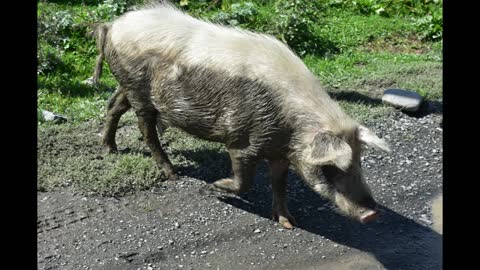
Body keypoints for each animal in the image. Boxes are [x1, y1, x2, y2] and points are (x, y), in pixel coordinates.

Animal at [93, 3, 390, 229]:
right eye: (330, 167)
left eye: (359, 161)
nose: (372, 213)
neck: (291, 127)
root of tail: (113, 25)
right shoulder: (241, 140)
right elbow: (243, 182)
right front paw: (214, 188)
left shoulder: (280, 152)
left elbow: (279, 185)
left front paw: (288, 223)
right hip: (138, 89)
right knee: (145, 127)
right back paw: (172, 174)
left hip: (126, 85)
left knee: (114, 107)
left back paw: (109, 149)